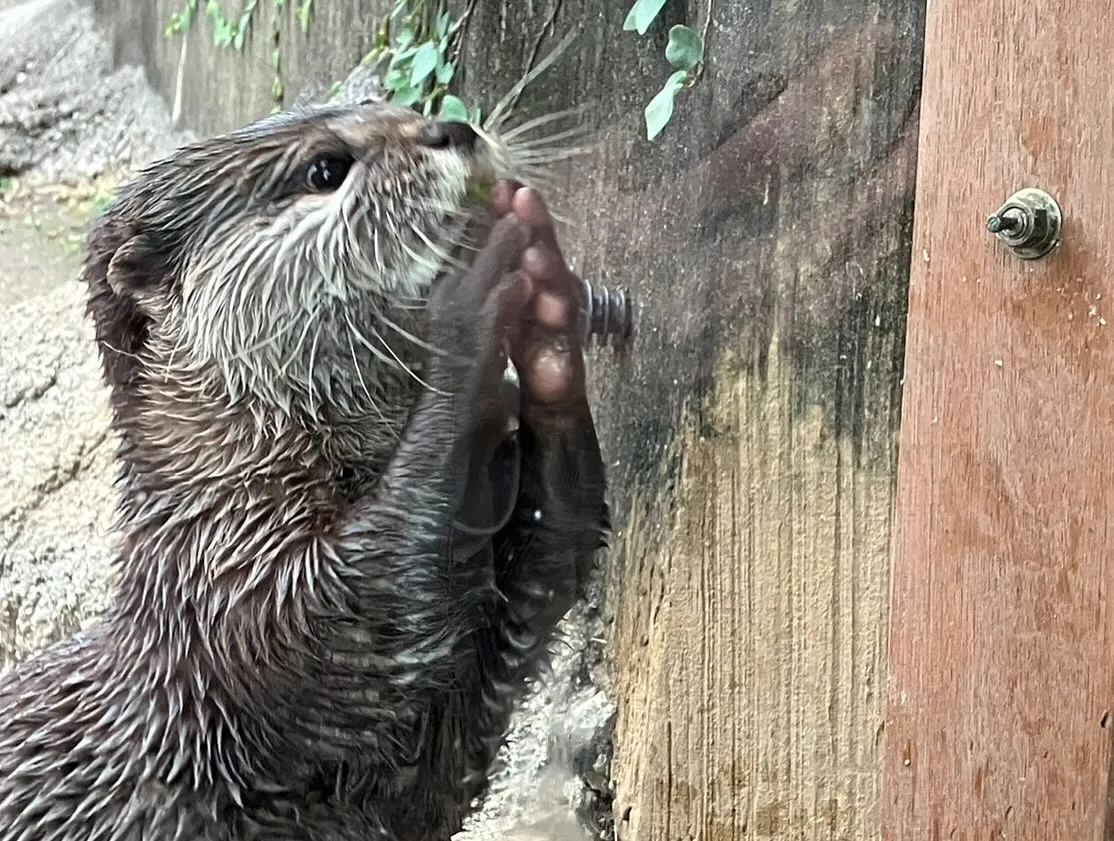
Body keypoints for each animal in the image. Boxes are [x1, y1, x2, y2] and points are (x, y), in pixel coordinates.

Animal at [0, 100, 610, 841]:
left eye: (396, 107)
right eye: (326, 168)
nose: (451, 129)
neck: (220, 497)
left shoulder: (447, 738)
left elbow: (547, 571)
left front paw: (551, 324)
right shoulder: (231, 616)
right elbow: (356, 609)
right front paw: (468, 300)